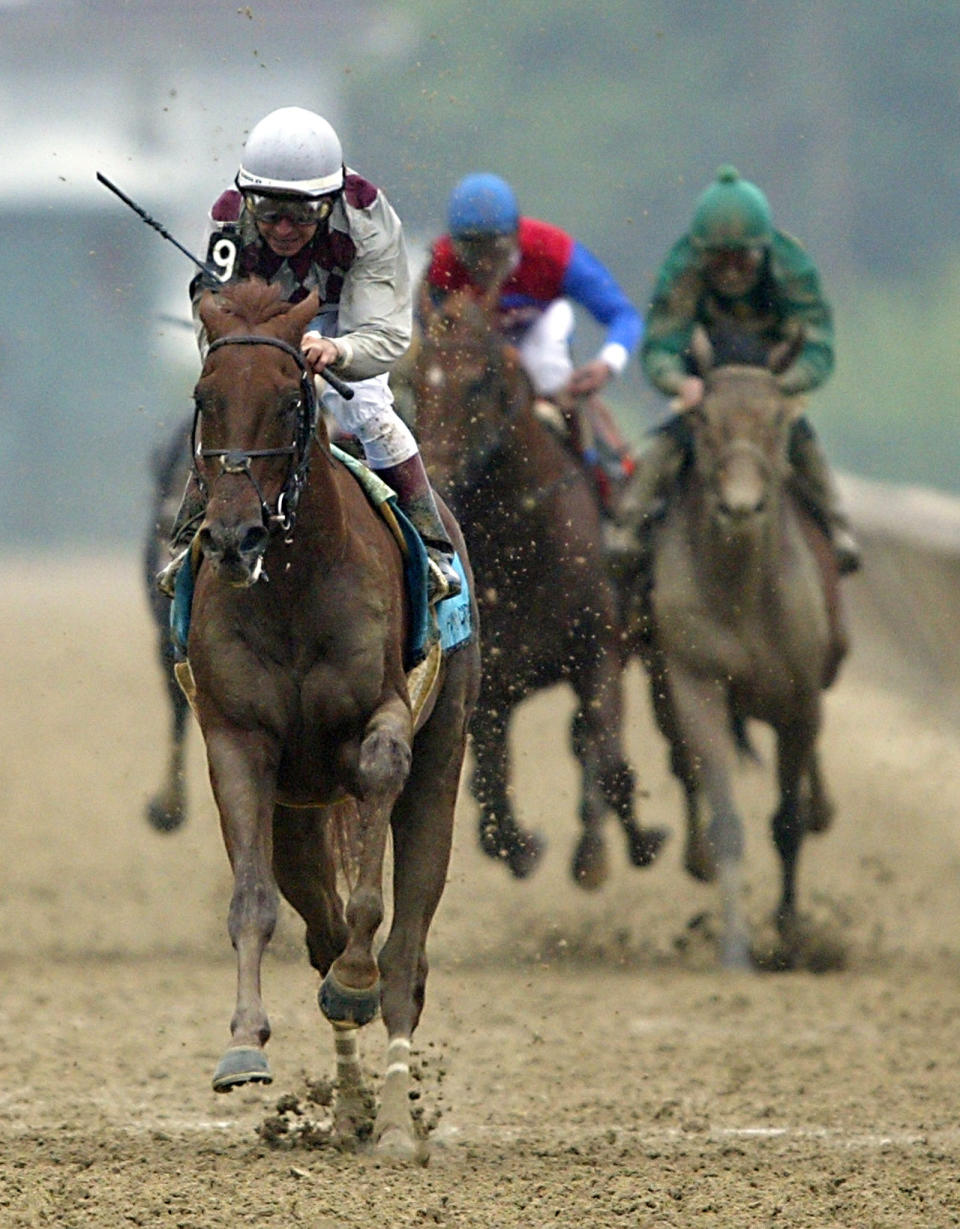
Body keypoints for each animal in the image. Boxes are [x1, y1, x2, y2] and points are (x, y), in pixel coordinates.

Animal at [173, 281, 479, 1160]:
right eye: (205, 397)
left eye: (287, 399)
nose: (231, 535)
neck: (292, 583)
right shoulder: (239, 742)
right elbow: (253, 901)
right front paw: (243, 1043)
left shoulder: (385, 716)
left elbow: (373, 898)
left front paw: (354, 983)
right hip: (299, 817)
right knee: (318, 924)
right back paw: (348, 1110)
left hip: (445, 757)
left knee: (407, 953)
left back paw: (394, 1114)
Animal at [413, 283, 668, 889]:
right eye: (414, 378)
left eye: (480, 379)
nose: (436, 478)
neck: (521, 539)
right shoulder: (492, 680)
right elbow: (489, 782)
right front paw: (523, 845)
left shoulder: (599, 649)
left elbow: (607, 755)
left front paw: (612, 850)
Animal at [634, 326, 845, 968]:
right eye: (702, 418)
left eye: (778, 418)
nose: (741, 507)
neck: (742, 591)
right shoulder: (695, 680)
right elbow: (726, 816)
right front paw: (735, 948)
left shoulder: (800, 699)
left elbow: (788, 821)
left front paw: (791, 934)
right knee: (683, 766)